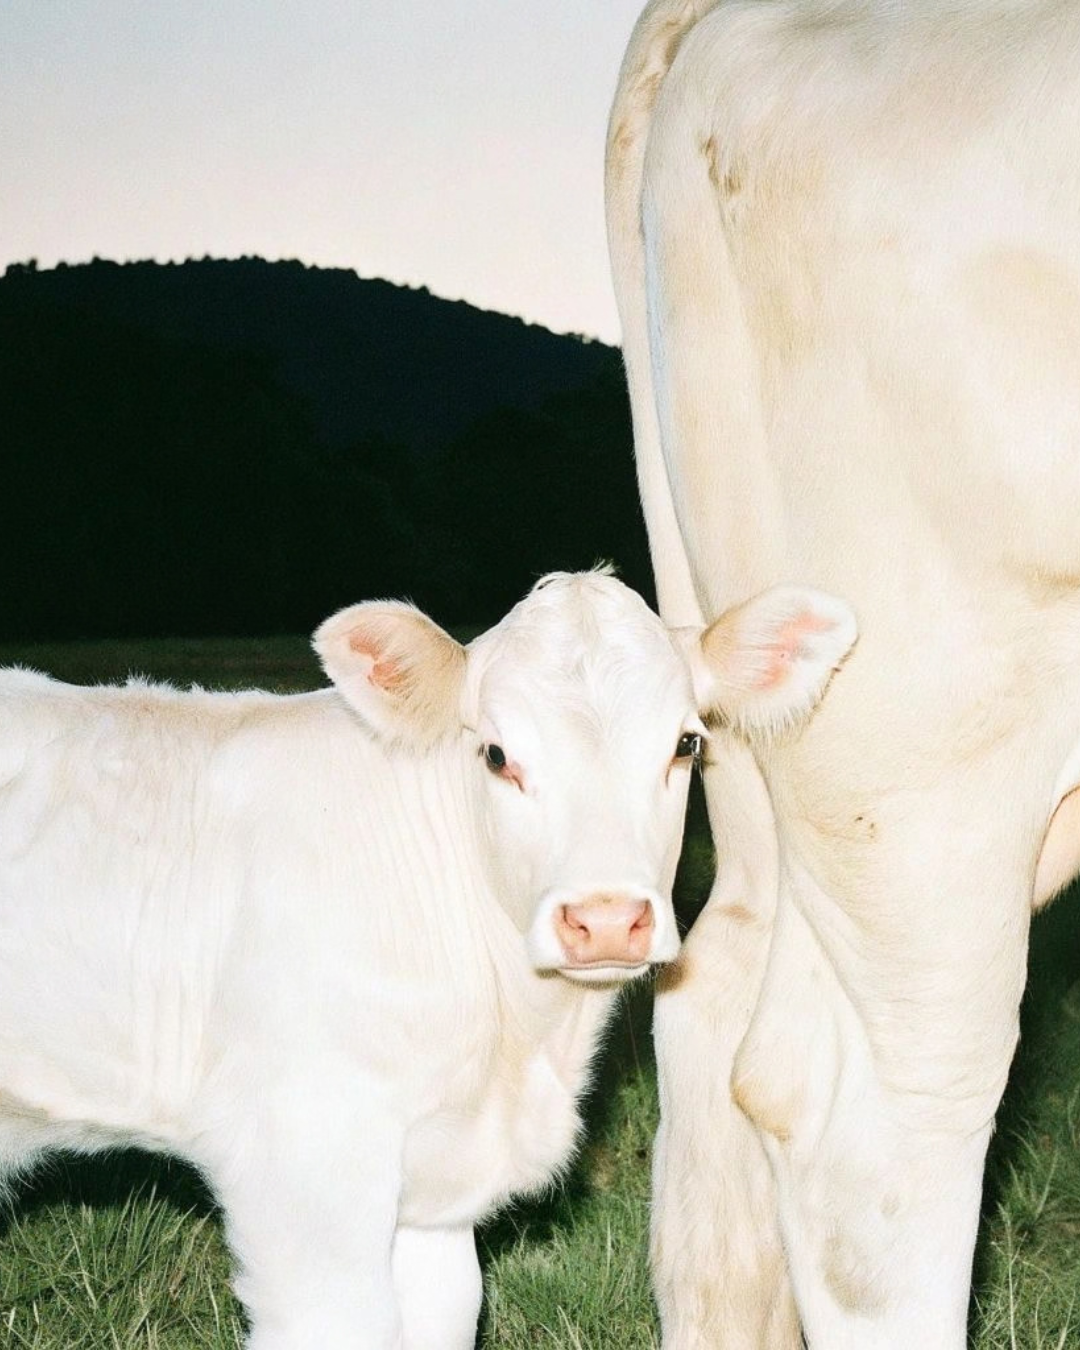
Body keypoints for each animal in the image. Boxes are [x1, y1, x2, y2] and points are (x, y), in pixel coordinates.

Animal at [0, 570, 853, 1349]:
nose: (607, 919)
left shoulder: (432, 1198)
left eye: (685, 744)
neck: (517, 1044)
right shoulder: (300, 1162)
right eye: (497, 755)